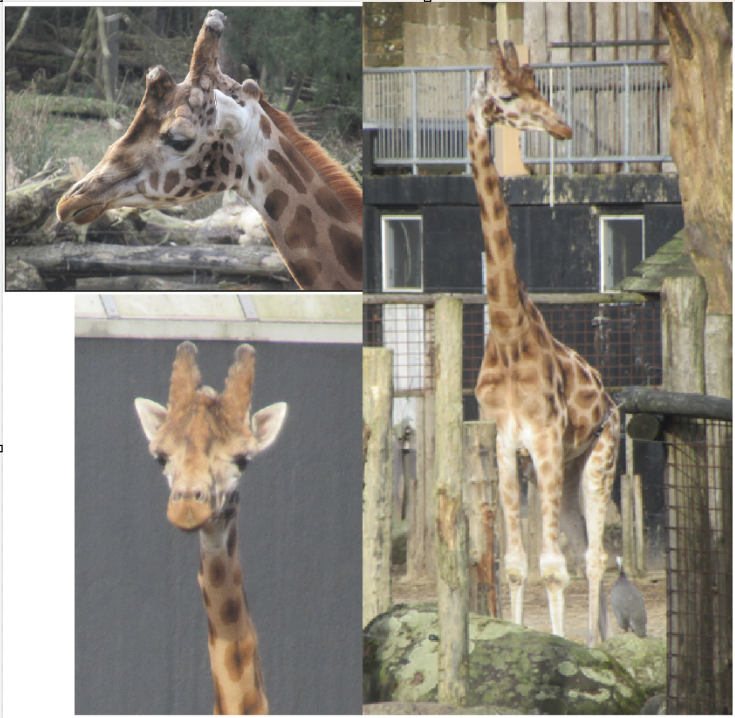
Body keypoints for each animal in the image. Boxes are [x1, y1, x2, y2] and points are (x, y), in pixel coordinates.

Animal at [468, 41, 620, 647]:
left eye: (540, 89)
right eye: (508, 96)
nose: (562, 128)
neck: (509, 331)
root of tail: (614, 402)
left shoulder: (548, 440)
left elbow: (553, 568)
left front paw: (557, 652)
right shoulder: (508, 445)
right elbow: (515, 564)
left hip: (600, 458)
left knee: (596, 557)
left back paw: (596, 646)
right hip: (572, 470)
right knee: (583, 551)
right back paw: (594, 641)